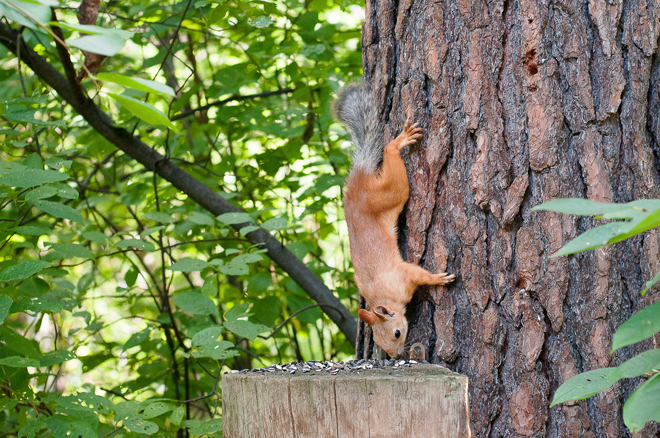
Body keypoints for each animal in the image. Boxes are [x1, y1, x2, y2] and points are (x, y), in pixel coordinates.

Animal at [336, 84, 454, 360]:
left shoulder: (403, 275)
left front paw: (437, 279)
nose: (397, 356)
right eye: (381, 344)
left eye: (397, 333)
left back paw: (399, 142)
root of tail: (358, 180)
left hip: (392, 192)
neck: (383, 296)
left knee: (390, 155)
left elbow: (420, 274)